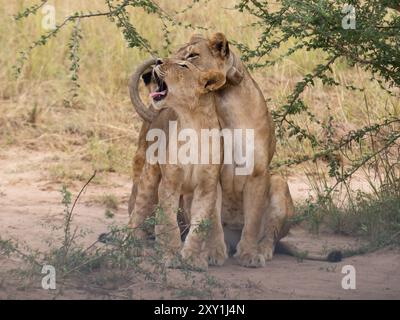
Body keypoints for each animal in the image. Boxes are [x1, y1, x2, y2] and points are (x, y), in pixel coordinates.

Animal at [130, 58, 227, 270]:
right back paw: (131, 245)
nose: (159, 60)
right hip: (150, 176)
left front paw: (192, 258)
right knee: (138, 211)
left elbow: (200, 226)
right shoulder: (170, 182)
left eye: (184, 65)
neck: (192, 122)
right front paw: (171, 255)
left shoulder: (206, 187)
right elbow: (169, 221)